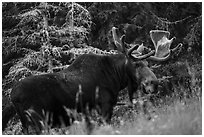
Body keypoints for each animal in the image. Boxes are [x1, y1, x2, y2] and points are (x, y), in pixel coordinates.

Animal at [2, 25, 182, 134]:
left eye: (147, 63)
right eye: (136, 64)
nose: (154, 83)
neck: (115, 77)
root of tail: (12, 96)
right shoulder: (104, 107)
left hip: (27, 124)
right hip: (38, 121)